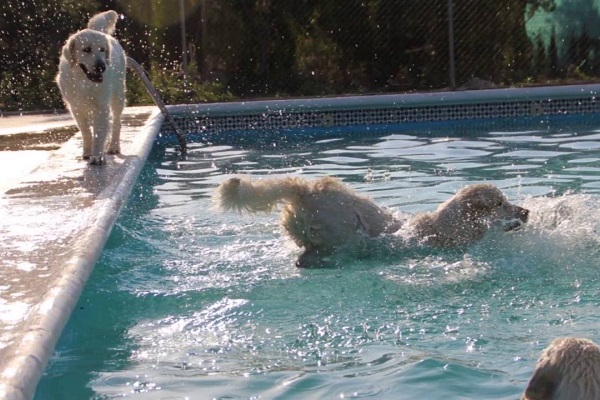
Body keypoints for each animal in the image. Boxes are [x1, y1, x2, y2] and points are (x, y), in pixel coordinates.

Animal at [56, 10, 126, 166]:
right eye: (86, 49)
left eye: (102, 50)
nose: (101, 67)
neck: (85, 82)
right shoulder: (76, 108)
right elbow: (86, 132)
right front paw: (88, 153)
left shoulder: (101, 107)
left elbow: (99, 133)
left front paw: (98, 156)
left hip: (118, 97)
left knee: (116, 122)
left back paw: (113, 146)